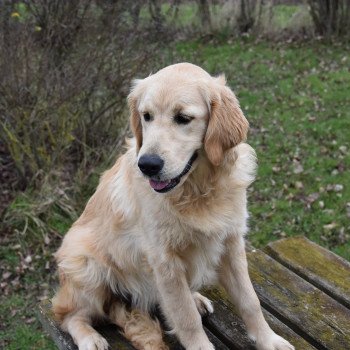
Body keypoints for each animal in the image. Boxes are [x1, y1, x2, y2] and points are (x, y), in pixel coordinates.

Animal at [51, 63, 292, 350]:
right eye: (146, 116)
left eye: (183, 118)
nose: (147, 165)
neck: (196, 191)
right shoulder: (164, 259)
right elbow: (185, 317)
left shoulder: (231, 242)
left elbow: (250, 300)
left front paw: (269, 340)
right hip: (88, 267)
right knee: (67, 314)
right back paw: (90, 338)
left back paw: (196, 298)